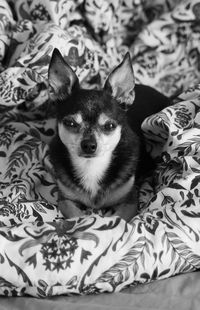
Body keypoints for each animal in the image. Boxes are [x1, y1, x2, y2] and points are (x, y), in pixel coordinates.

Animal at [48, 48, 170, 220]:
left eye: (110, 126)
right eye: (70, 123)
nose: (89, 145)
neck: (91, 166)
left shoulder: (129, 202)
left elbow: (118, 219)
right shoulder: (65, 199)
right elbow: (75, 216)